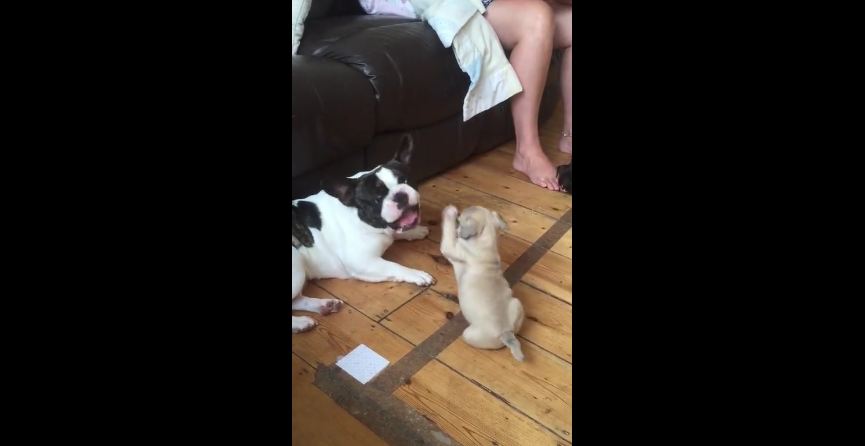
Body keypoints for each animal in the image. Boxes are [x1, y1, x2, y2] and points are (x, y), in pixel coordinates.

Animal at [292, 136, 438, 334]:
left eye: (406, 180)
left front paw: (416, 231)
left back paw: (325, 306)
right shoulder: (363, 262)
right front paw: (416, 274)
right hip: (296, 269)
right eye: (377, 198)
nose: (400, 194)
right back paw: (300, 323)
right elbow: (394, 266)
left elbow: (398, 233)